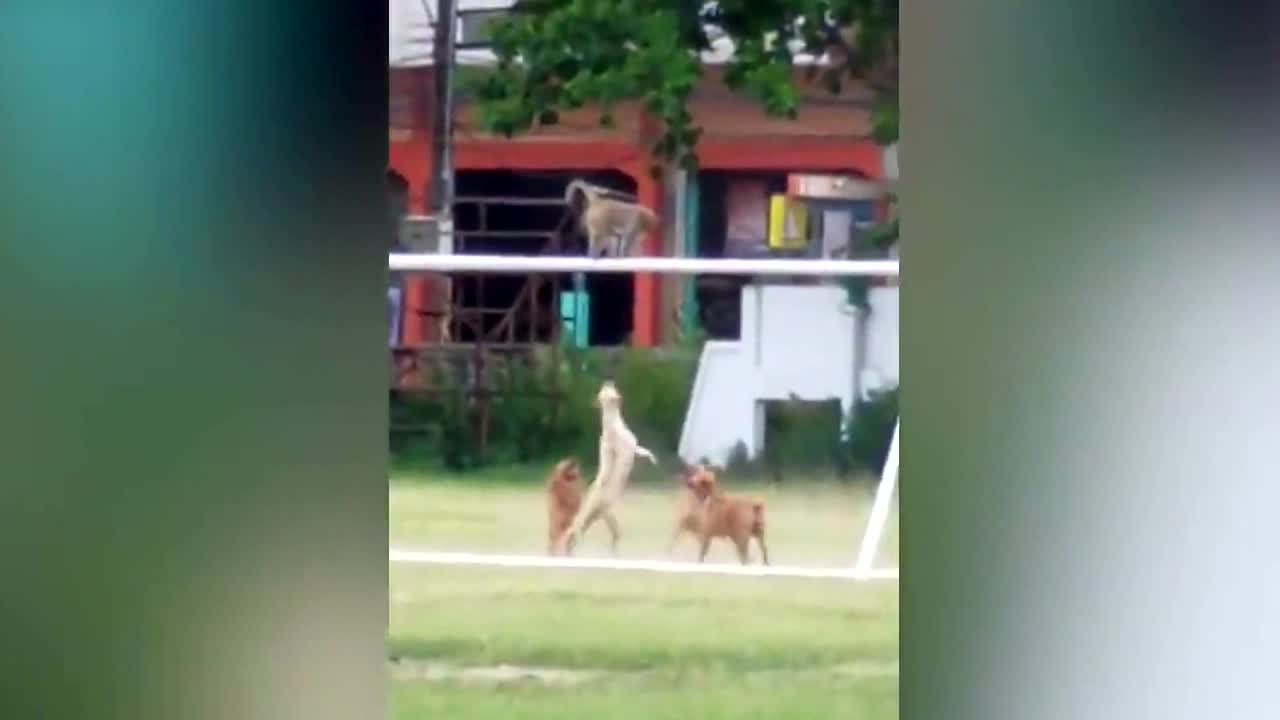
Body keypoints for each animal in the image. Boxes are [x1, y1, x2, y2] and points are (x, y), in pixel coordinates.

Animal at [560, 381, 660, 556]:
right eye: (603, 393)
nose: (607, 382)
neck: (614, 422)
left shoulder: (634, 446)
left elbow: (644, 451)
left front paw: (654, 460)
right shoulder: (626, 448)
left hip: (603, 516)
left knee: (602, 535)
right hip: (601, 515)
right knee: (577, 533)